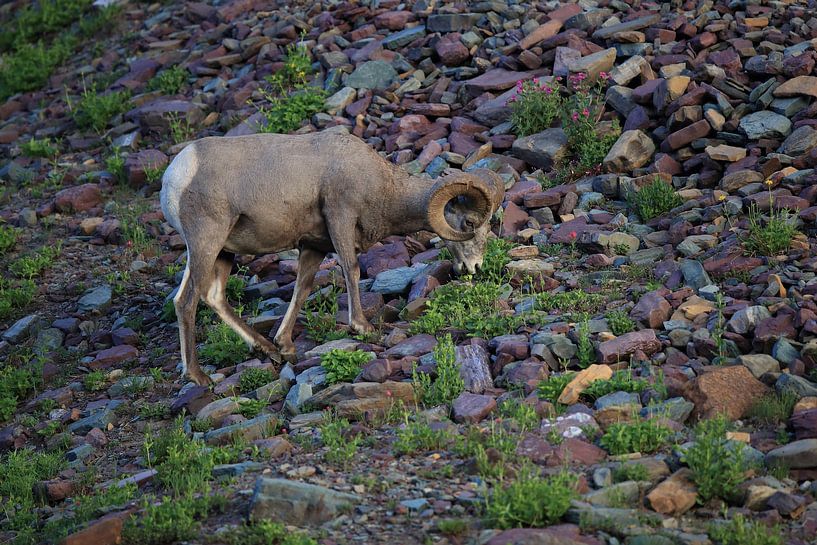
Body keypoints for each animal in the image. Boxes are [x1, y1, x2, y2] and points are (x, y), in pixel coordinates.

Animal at [159, 130, 504, 384]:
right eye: (469, 223)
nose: (474, 267)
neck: (380, 185)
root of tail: (175, 175)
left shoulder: (314, 246)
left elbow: (302, 289)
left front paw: (285, 346)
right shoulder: (340, 217)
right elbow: (351, 270)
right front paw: (362, 327)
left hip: (220, 252)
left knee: (211, 296)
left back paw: (267, 349)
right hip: (207, 242)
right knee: (187, 301)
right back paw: (198, 377)